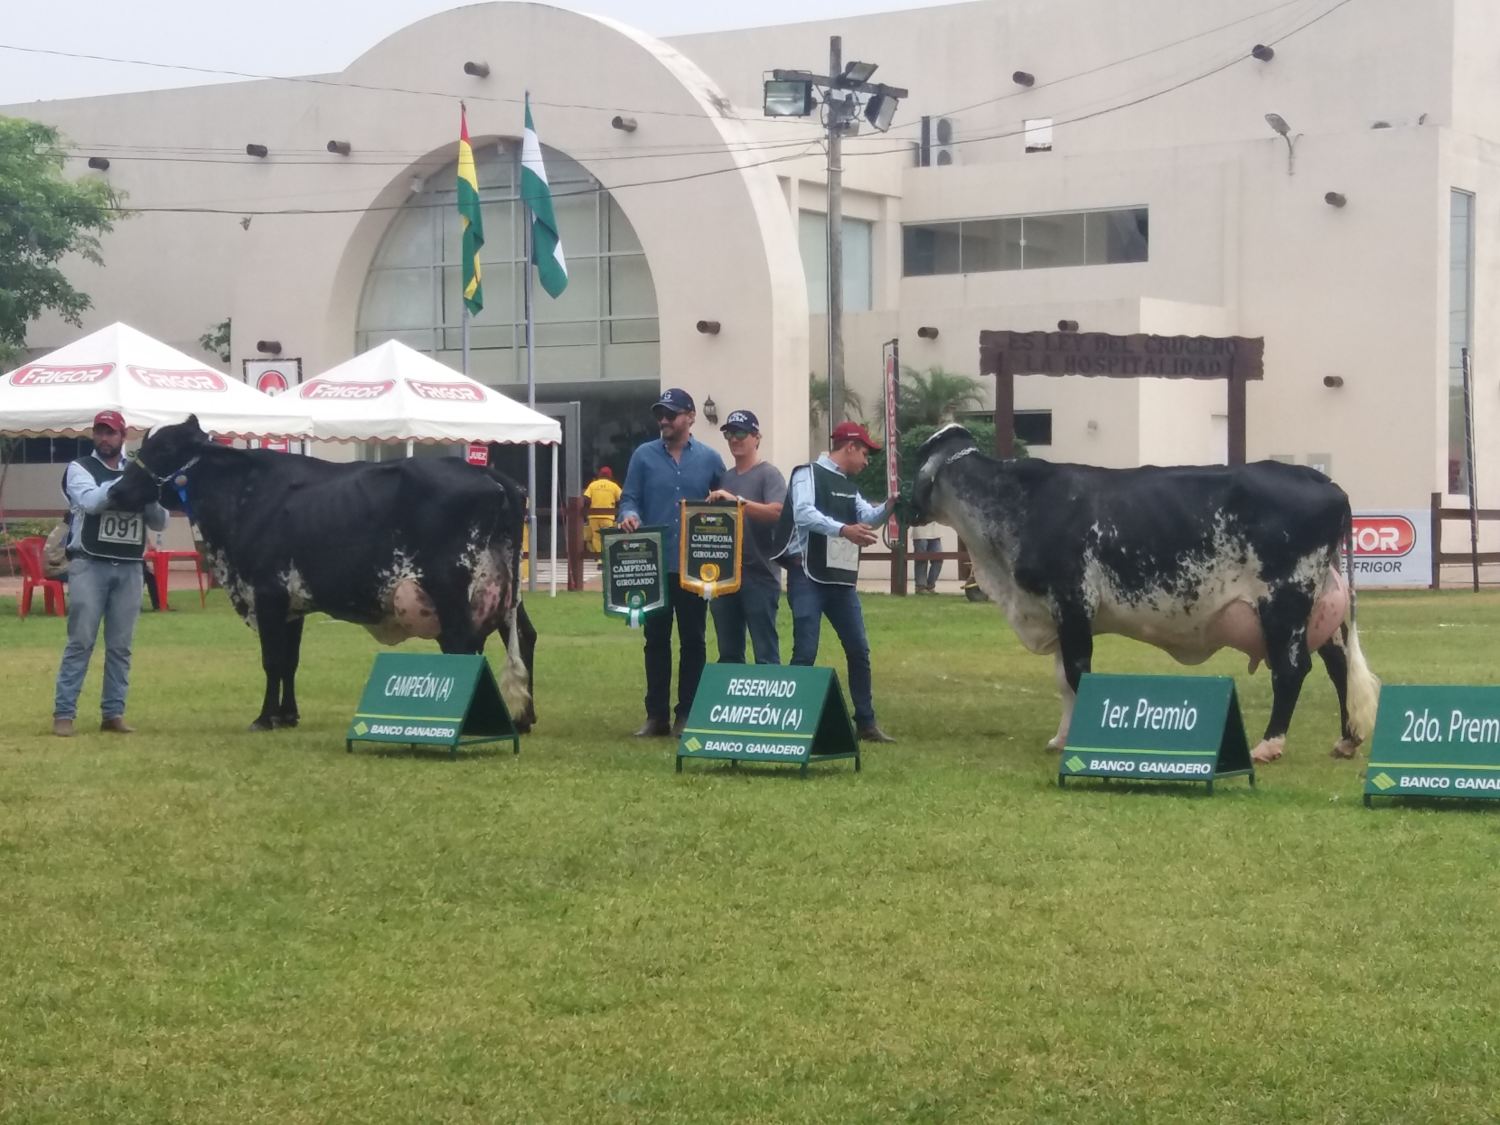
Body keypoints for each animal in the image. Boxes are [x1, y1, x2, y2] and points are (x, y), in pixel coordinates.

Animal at [117, 420, 540, 735]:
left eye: (163, 450)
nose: (118, 489)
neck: (245, 495)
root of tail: (492, 476)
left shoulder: (266, 595)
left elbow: (272, 660)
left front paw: (264, 718)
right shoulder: (292, 605)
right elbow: (290, 661)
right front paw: (287, 715)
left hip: (451, 591)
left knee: (463, 647)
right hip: (503, 594)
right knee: (523, 636)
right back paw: (523, 718)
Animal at [906, 426, 1374, 768]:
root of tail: (1321, 479)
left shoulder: (1073, 602)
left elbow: (1077, 673)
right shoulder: (1056, 613)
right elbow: (1061, 680)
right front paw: (1061, 737)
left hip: (1285, 601)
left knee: (1292, 670)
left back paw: (1269, 745)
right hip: (1320, 608)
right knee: (1338, 666)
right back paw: (1347, 740)